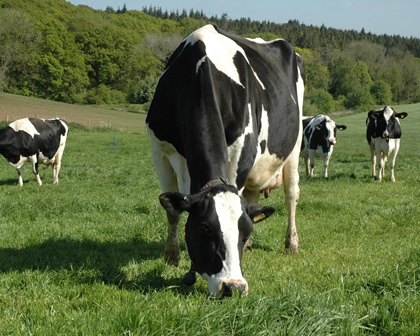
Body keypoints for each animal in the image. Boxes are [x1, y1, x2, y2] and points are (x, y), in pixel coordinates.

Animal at [146, 24, 304, 296]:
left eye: (243, 231)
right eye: (204, 228)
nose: (234, 286)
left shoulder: (240, 156)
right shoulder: (160, 151)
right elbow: (172, 212)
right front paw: (172, 256)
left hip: (295, 144)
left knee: (291, 194)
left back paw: (291, 243)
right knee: (252, 196)